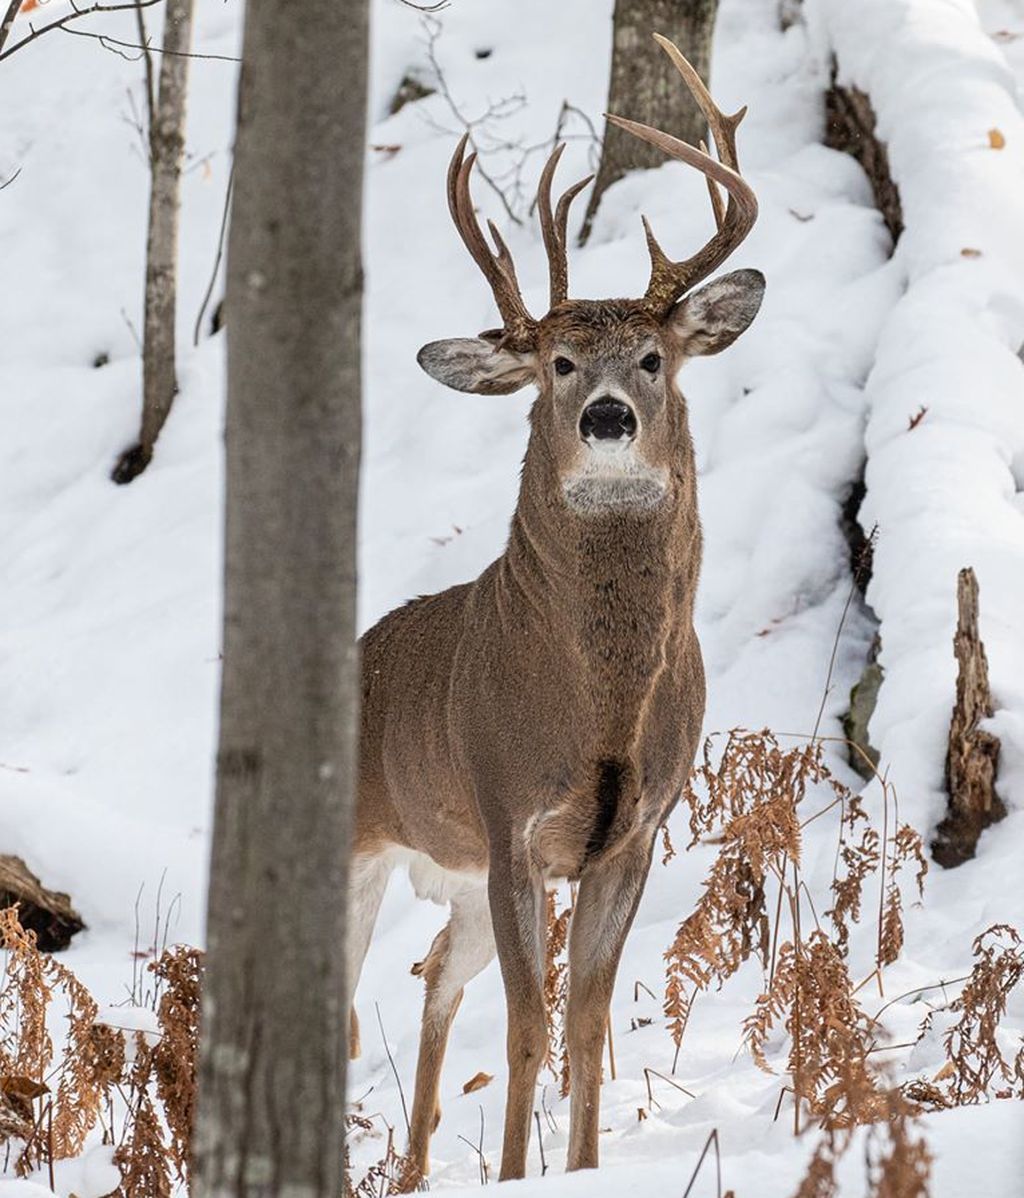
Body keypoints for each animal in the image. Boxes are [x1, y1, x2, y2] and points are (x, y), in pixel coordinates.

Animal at [349, 35, 763, 1184]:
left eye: (654, 358)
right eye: (558, 363)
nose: (608, 417)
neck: (600, 709)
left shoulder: (634, 832)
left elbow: (584, 1018)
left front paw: (579, 1169)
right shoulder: (507, 821)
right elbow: (529, 1024)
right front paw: (512, 1176)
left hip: (454, 878)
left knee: (433, 972)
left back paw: (411, 1170)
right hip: (362, 843)